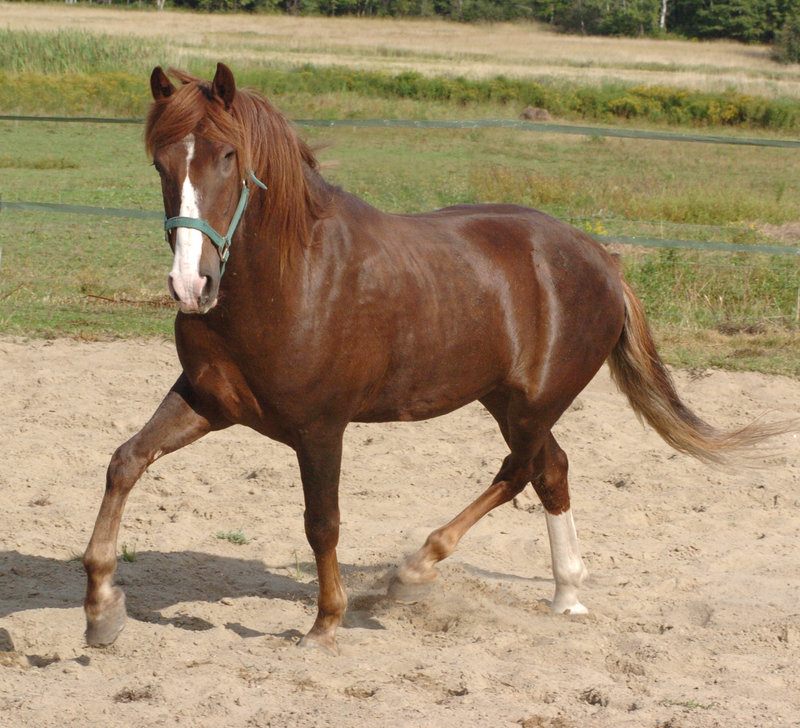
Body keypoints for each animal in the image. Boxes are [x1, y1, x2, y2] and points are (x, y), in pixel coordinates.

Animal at [81, 65, 776, 652]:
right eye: (160, 160)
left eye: (228, 157)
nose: (190, 285)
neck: (290, 278)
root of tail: (603, 259)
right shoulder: (207, 401)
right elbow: (125, 462)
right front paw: (101, 608)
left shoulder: (320, 427)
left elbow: (322, 523)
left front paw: (325, 625)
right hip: (505, 400)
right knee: (551, 470)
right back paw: (566, 595)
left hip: (534, 403)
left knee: (521, 471)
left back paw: (413, 572)